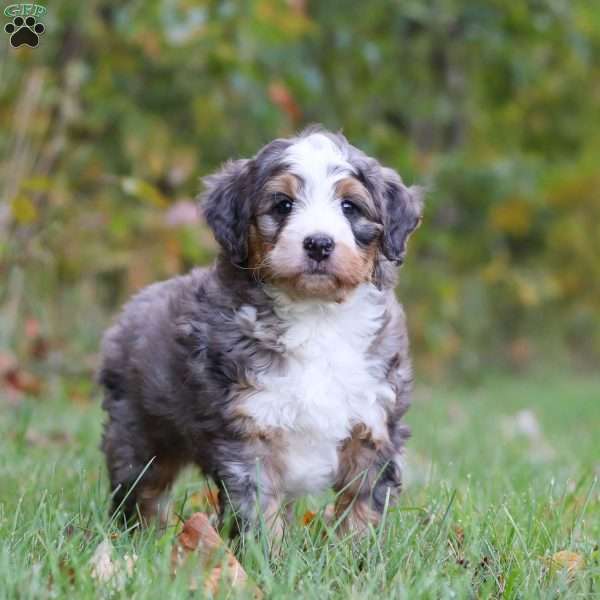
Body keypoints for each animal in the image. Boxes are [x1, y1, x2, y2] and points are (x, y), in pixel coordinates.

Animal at [98, 126, 424, 540]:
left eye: (350, 207)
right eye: (283, 204)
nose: (318, 243)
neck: (317, 318)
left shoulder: (375, 425)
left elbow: (362, 505)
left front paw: (360, 552)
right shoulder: (249, 432)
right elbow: (260, 511)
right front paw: (265, 556)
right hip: (139, 433)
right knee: (141, 491)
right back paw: (143, 538)